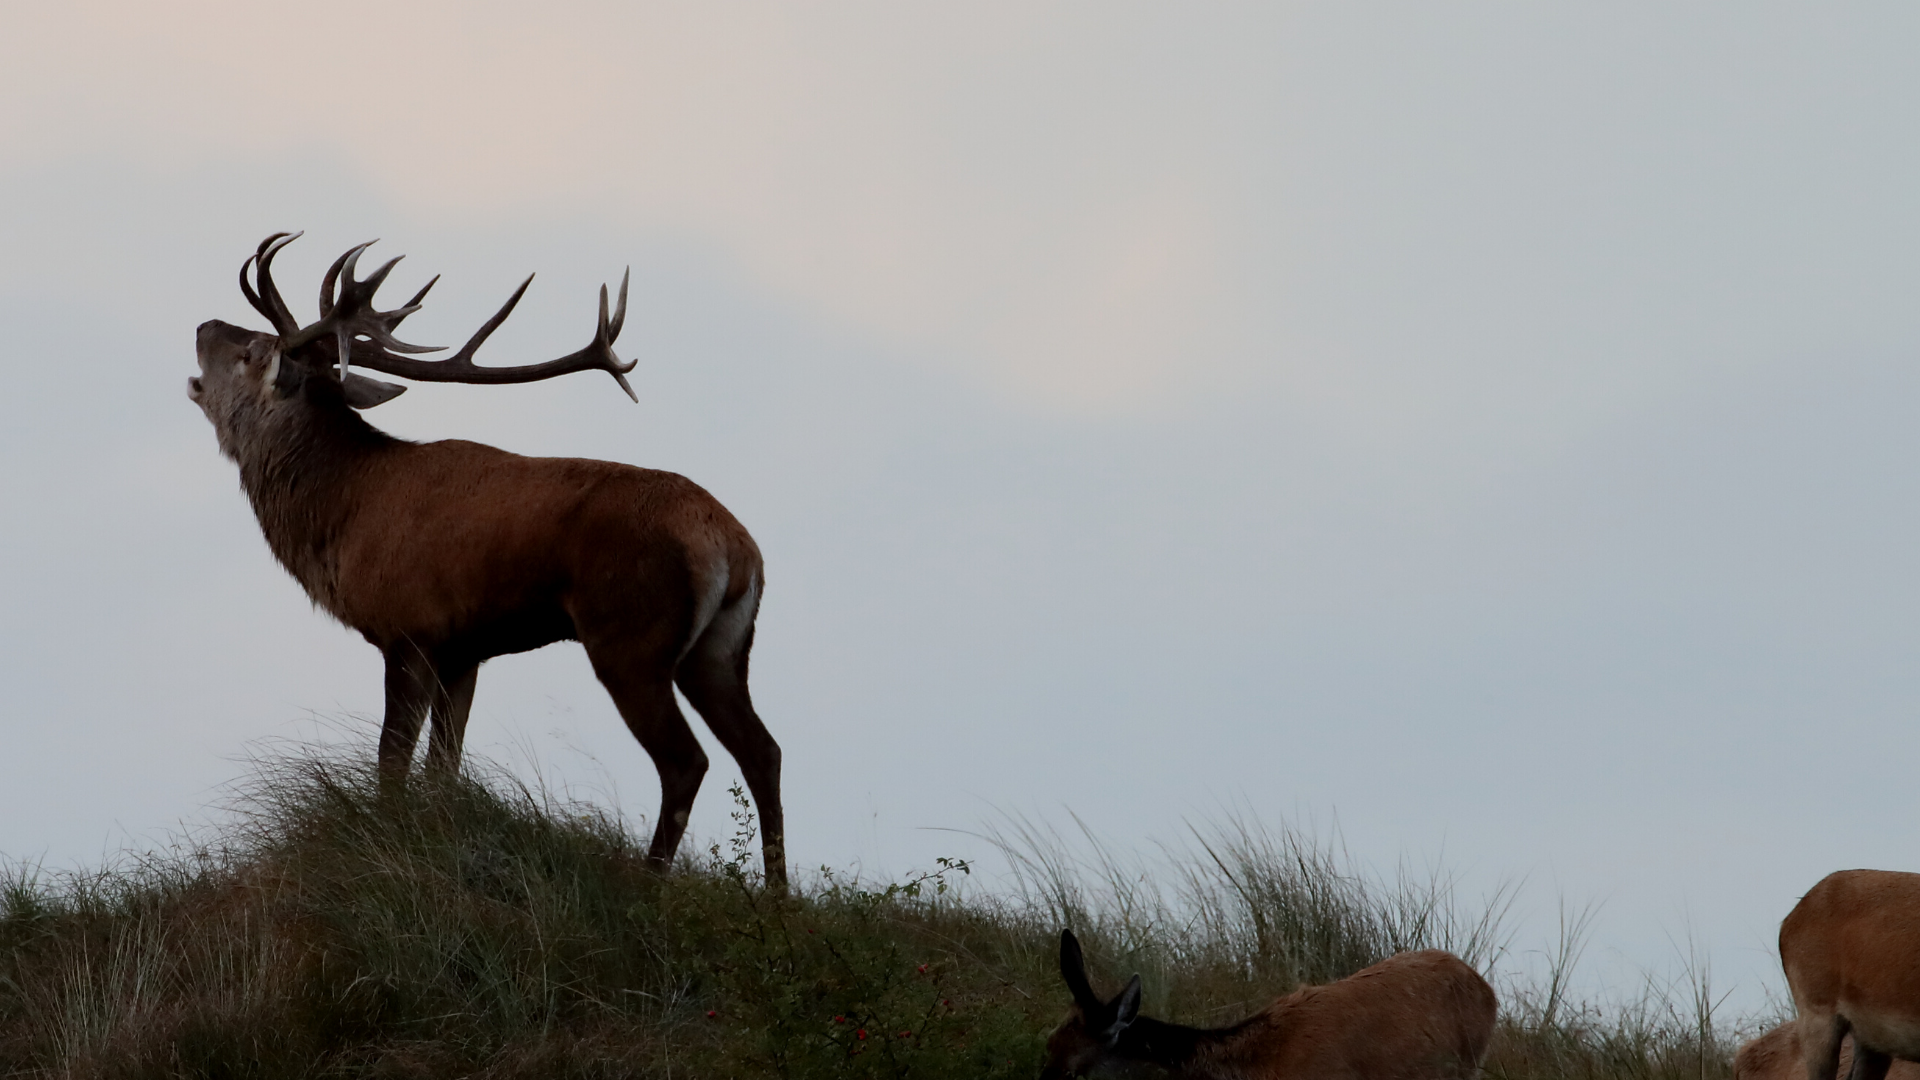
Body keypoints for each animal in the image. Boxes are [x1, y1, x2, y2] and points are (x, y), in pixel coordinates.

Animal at [189, 231, 787, 887]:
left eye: (251, 349)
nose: (202, 324)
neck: (343, 519)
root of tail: (734, 545)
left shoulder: (410, 629)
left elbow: (391, 766)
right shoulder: (464, 650)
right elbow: (442, 771)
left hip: (630, 636)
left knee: (686, 761)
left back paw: (649, 885)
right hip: (720, 648)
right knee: (763, 750)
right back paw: (778, 895)